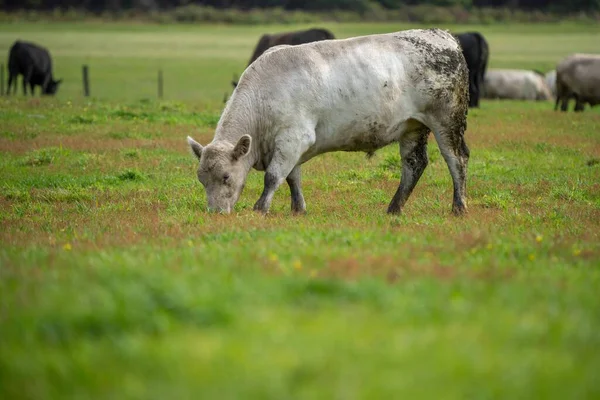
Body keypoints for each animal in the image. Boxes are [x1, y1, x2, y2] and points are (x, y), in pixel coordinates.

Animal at [186, 28, 468, 216]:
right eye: (201, 178)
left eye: (225, 177)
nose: (215, 212)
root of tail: (444, 36)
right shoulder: (291, 146)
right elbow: (293, 177)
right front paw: (298, 209)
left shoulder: (293, 138)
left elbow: (274, 176)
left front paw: (260, 209)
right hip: (413, 127)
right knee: (414, 164)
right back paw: (394, 208)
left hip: (447, 120)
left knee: (457, 159)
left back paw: (459, 206)